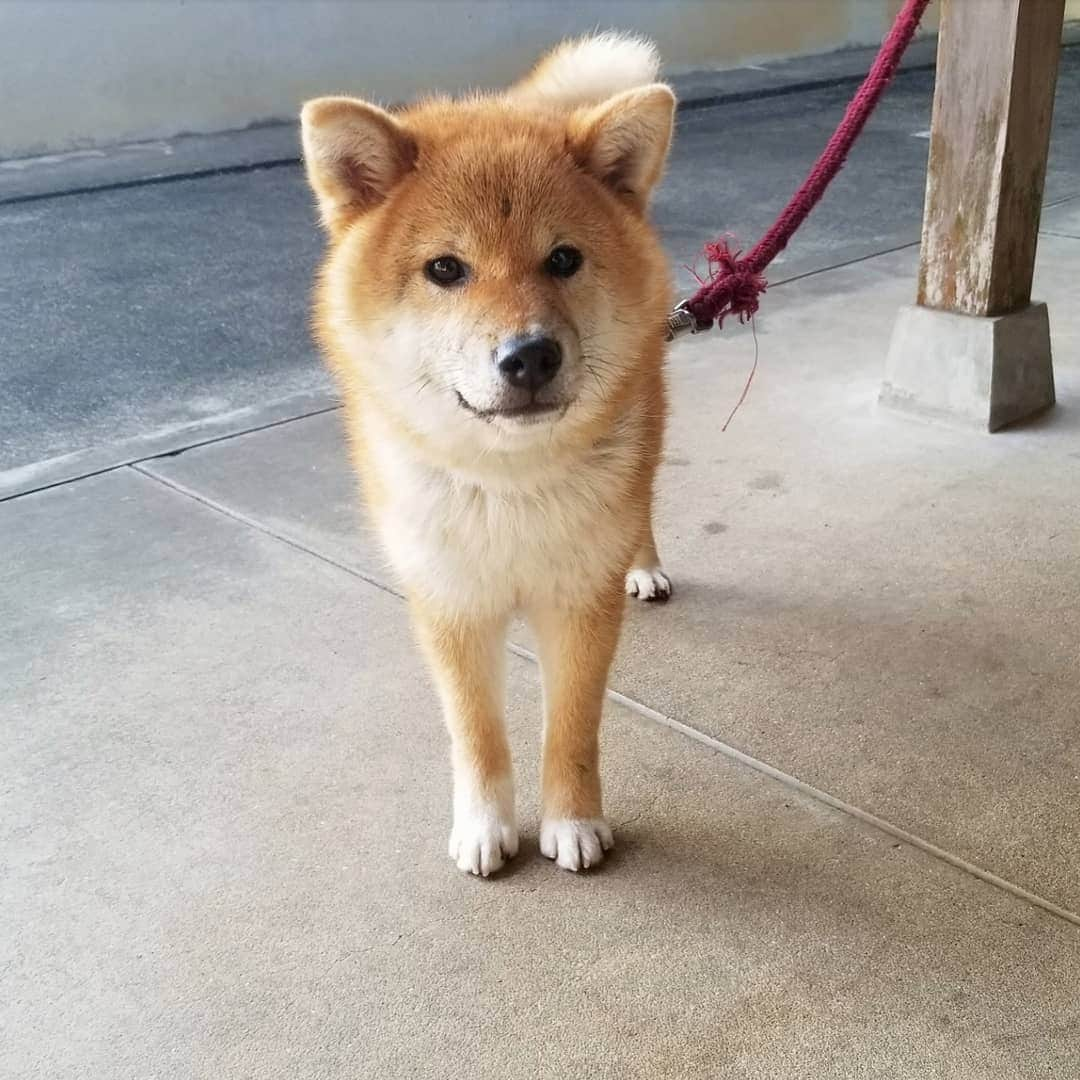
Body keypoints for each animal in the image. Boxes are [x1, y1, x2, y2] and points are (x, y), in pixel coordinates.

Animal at [302, 33, 673, 876]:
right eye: (446, 268)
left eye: (563, 259)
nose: (529, 356)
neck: (508, 485)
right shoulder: (451, 605)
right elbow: (475, 733)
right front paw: (484, 824)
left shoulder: (578, 604)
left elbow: (571, 731)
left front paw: (572, 820)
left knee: (642, 508)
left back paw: (644, 565)